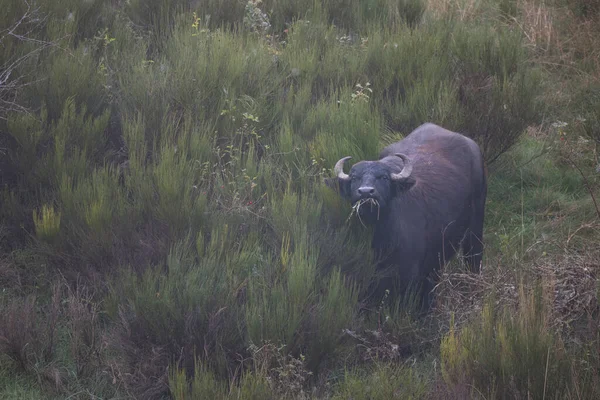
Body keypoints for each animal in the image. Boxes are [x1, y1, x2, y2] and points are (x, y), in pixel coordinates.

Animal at [328, 123, 488, 308]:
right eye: (355, 178)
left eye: (383, 177)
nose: (366, 192)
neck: (381, 234)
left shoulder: (410, 275)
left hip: (475, 227)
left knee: (474, 257)